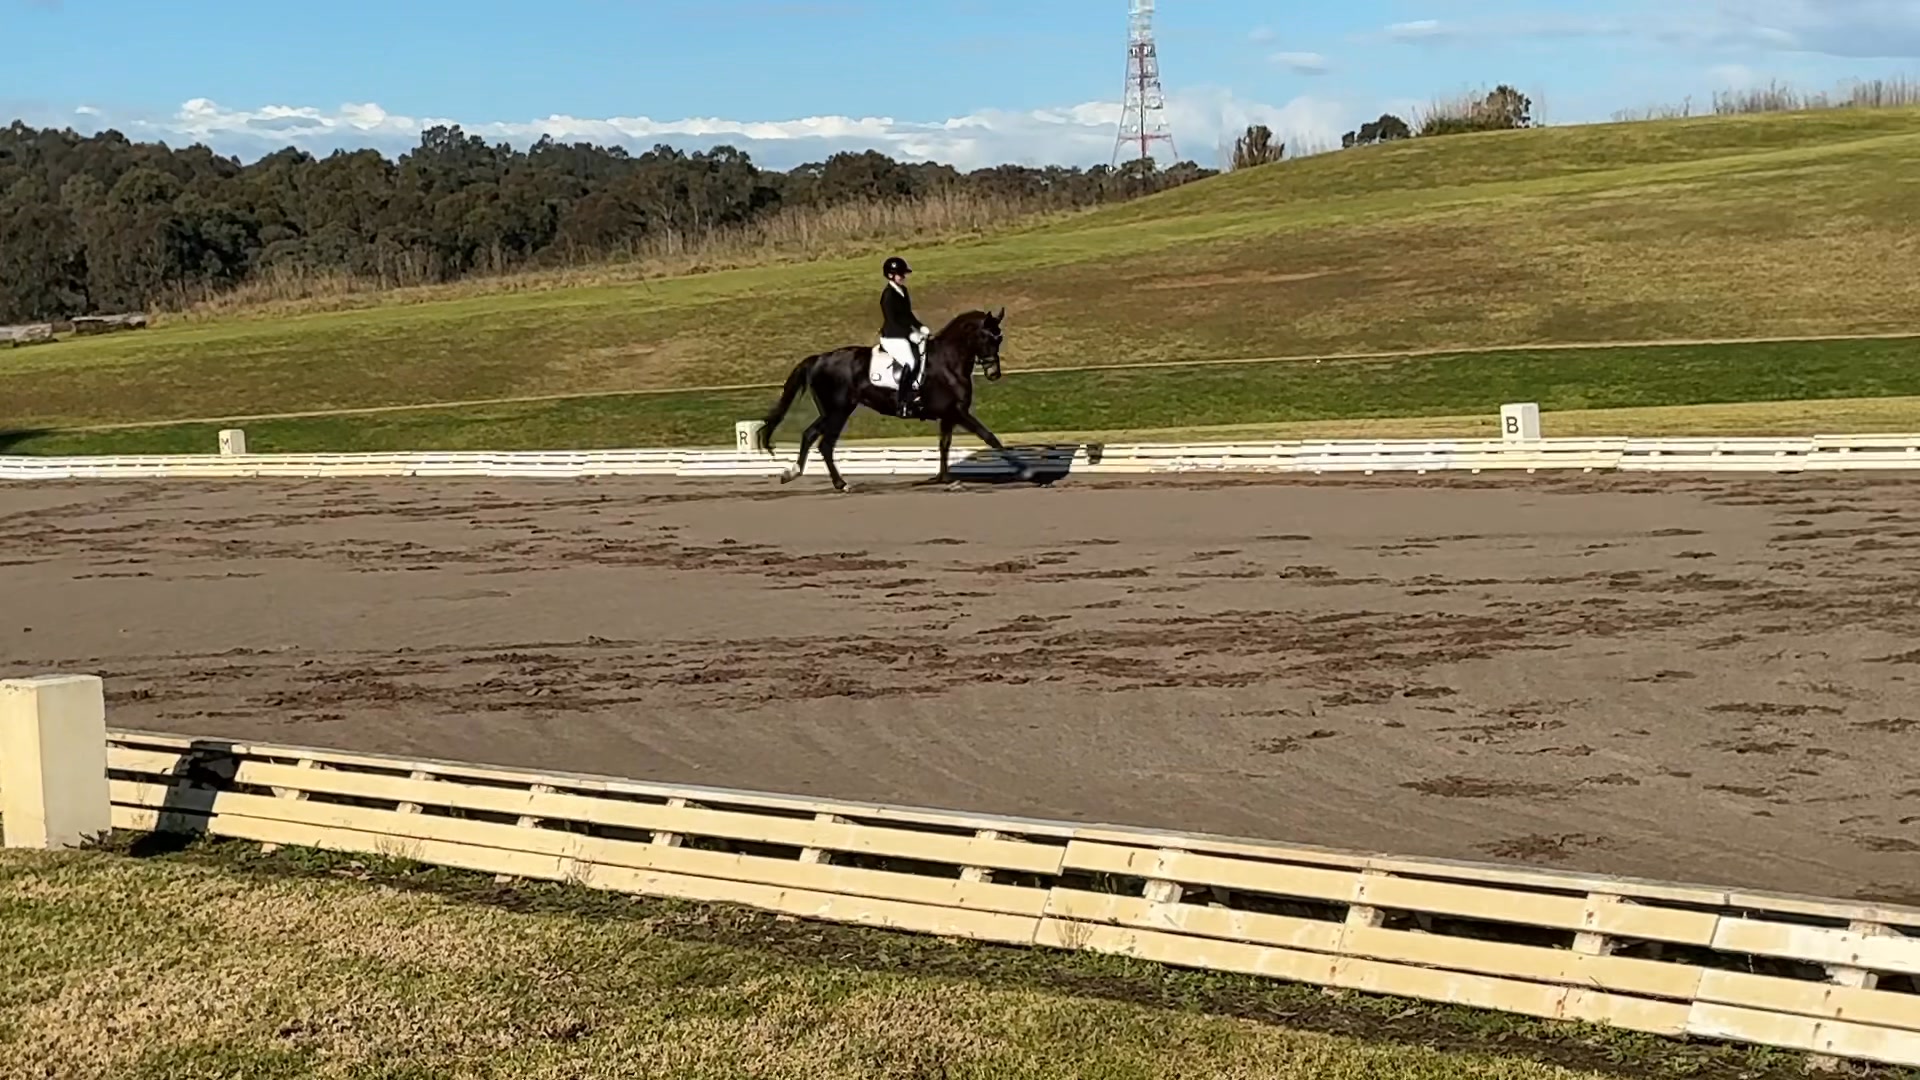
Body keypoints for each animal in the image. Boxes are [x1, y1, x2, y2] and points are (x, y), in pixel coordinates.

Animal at [754, 307, 1034, 492]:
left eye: (1000, 338)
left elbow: (944, 445)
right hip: (838, 410)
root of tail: (820, 358)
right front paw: (1026, 470)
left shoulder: (948, 415)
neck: (948, 361)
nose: (993, 373)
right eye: (987, 337)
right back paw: (837, 483)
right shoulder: (958, 412)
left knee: (813, 436)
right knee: (823, 443)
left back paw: (797, 474)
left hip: (834, 410)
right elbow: (989, 437)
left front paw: (943, 478)